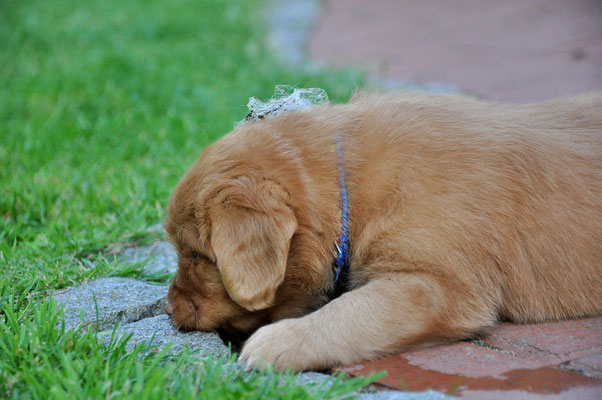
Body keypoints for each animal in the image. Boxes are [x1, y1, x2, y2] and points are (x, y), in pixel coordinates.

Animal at [163, 91, 600, 372]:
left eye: (196, 255)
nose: (168, 310)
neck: (349, 182)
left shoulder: (435, 285)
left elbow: (349, 311)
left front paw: (278, 342)